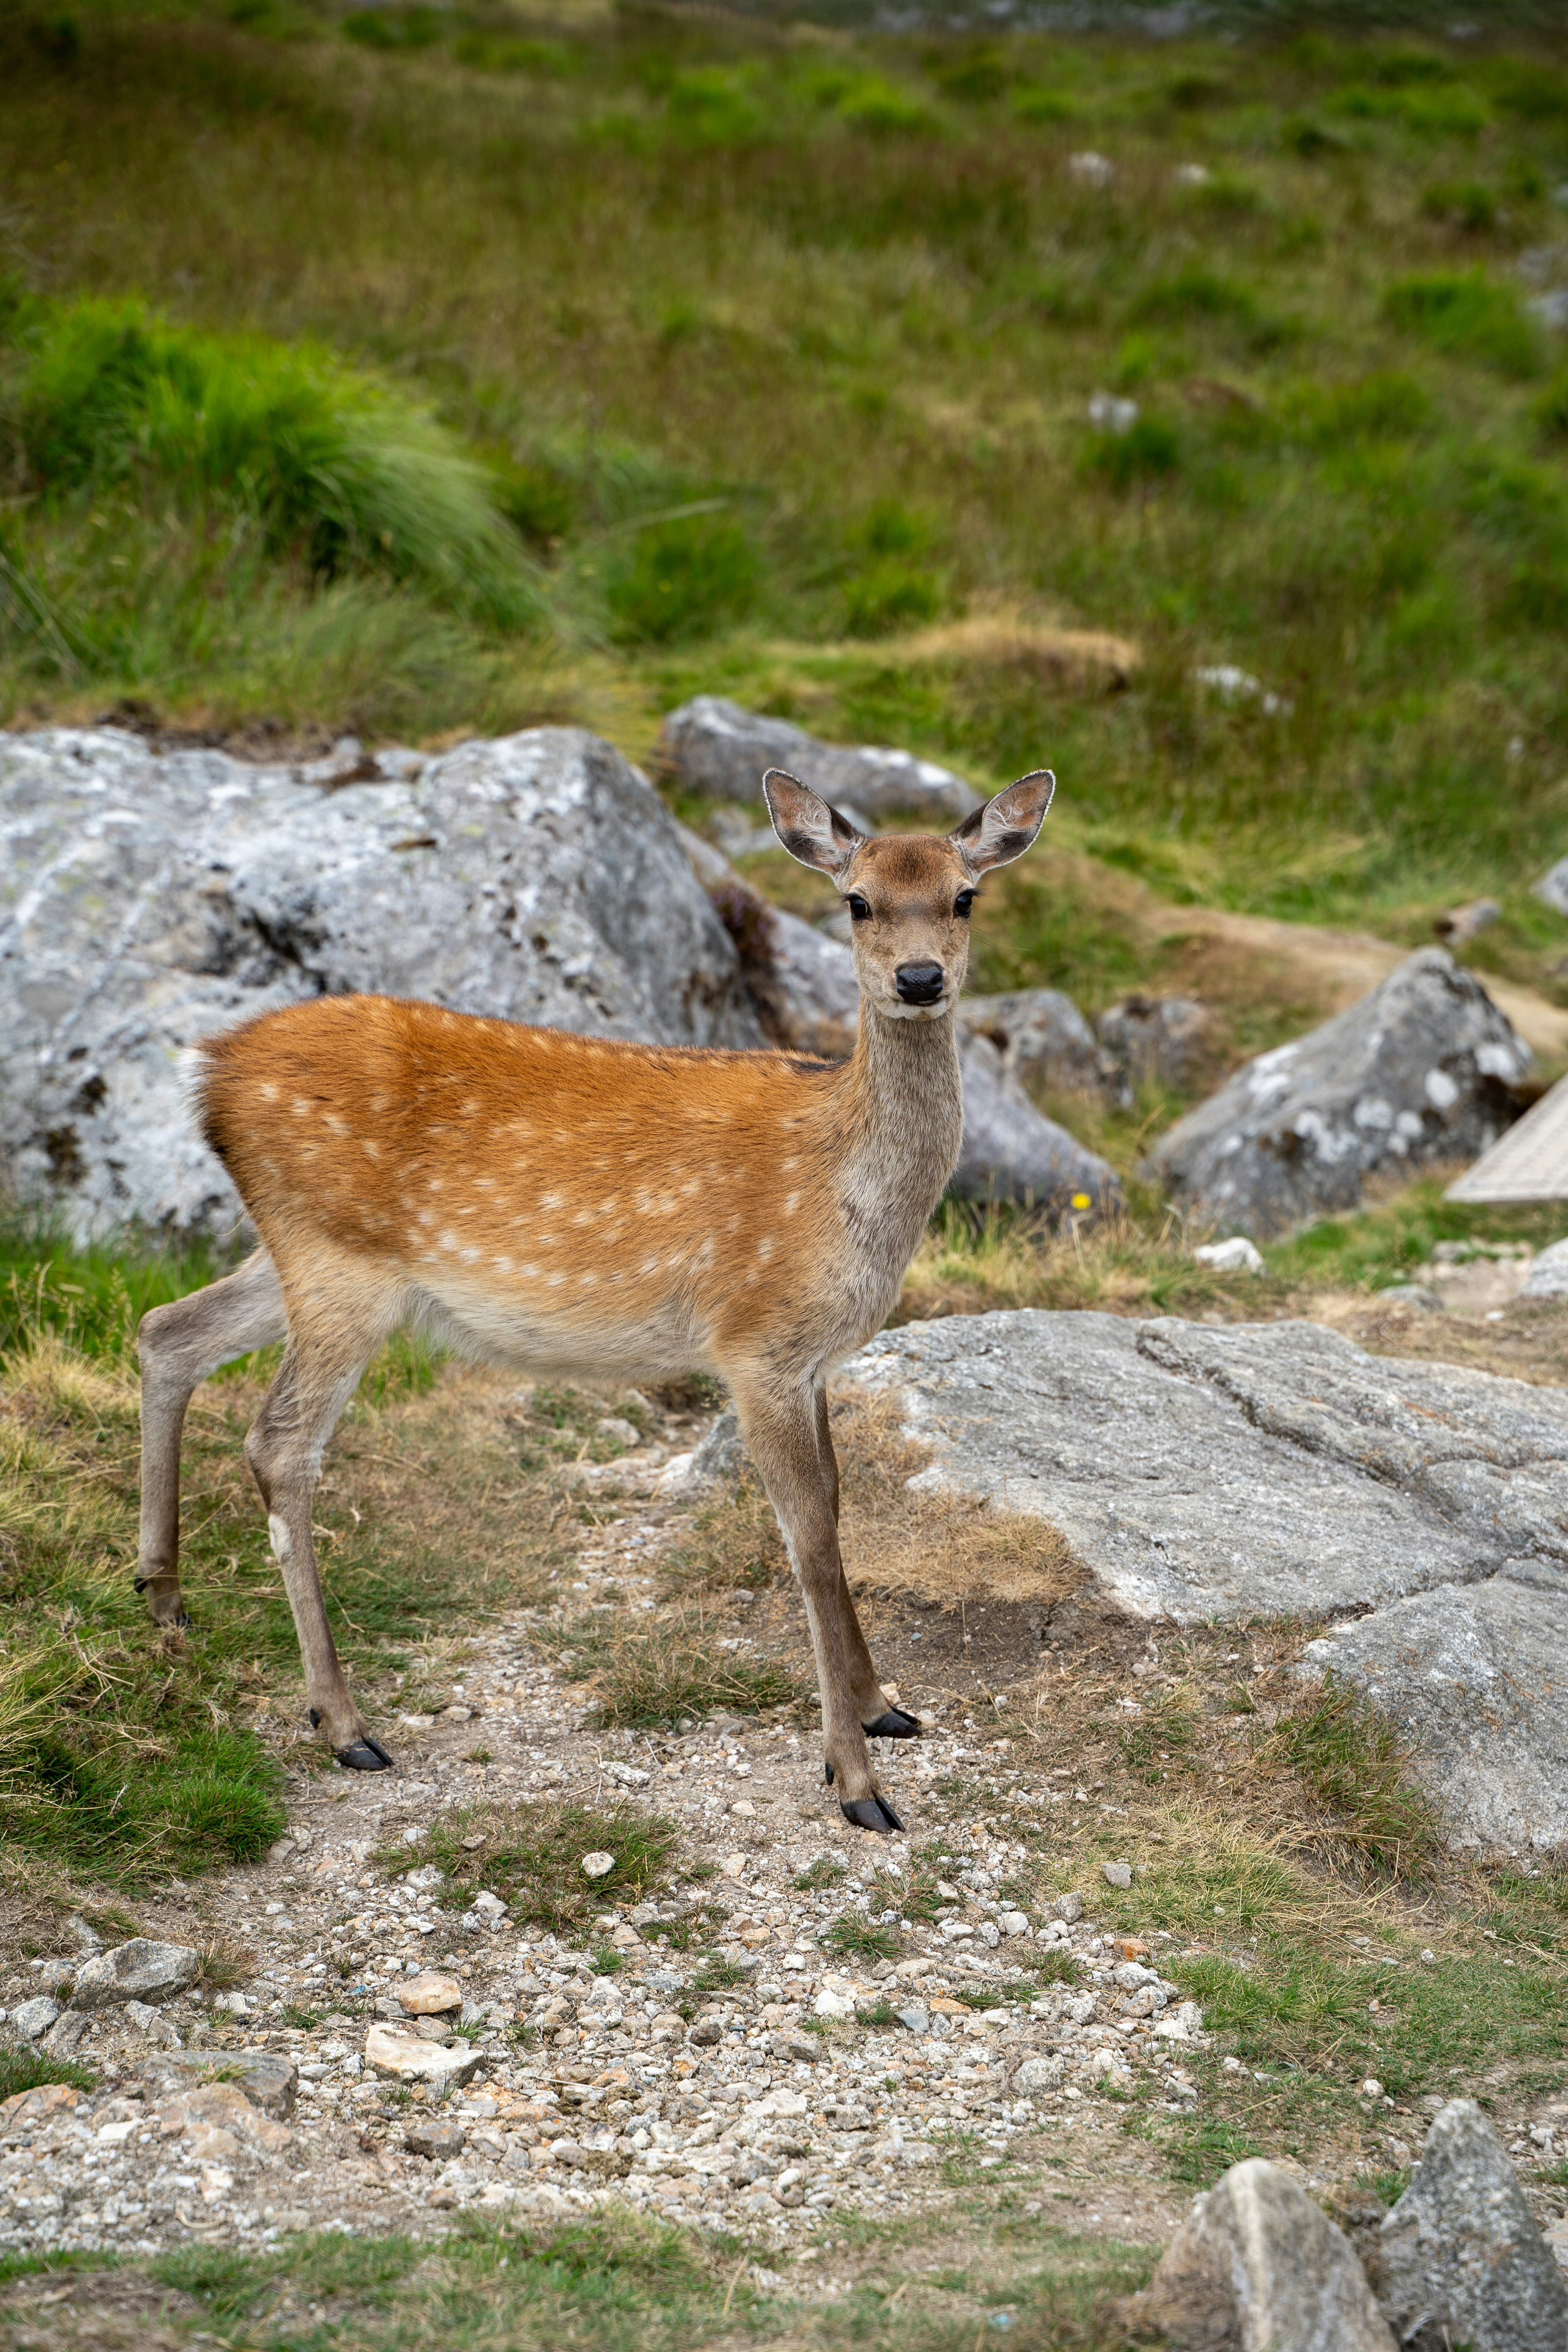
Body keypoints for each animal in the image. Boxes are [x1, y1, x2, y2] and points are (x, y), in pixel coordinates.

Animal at [135, 764, 1055, 1832]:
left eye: (964, 896)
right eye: (856, 901)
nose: (917, 979)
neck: (844, 1189)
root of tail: (207, 1072)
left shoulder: (815, 1357)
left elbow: (836, 1502)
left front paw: (882, 1708)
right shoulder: (755, 1341)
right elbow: (810, 1534)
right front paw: (855, 1780)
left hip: (296, 1249)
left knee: (166, 1330)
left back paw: (163, 1600)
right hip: (339, 1266)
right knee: (279, 1442)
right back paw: (342, 1722)